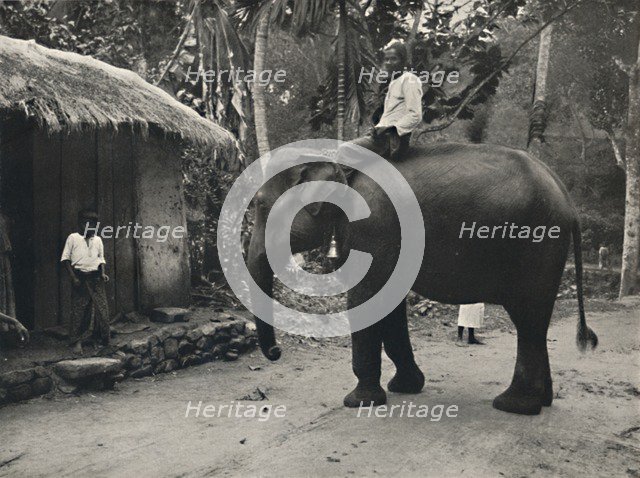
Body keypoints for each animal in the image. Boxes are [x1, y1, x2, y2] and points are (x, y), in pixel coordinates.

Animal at [246, 141, 598, 416]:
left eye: (261, 205)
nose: (276, 352)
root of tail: (567, 200)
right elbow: (388, 304)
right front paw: (404, 387)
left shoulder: (372, 230)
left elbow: (367, 298)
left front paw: (358, 402)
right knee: (536, 322)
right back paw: (543, 401)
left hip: (535, 246)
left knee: (527, 318)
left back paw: (513, 405)